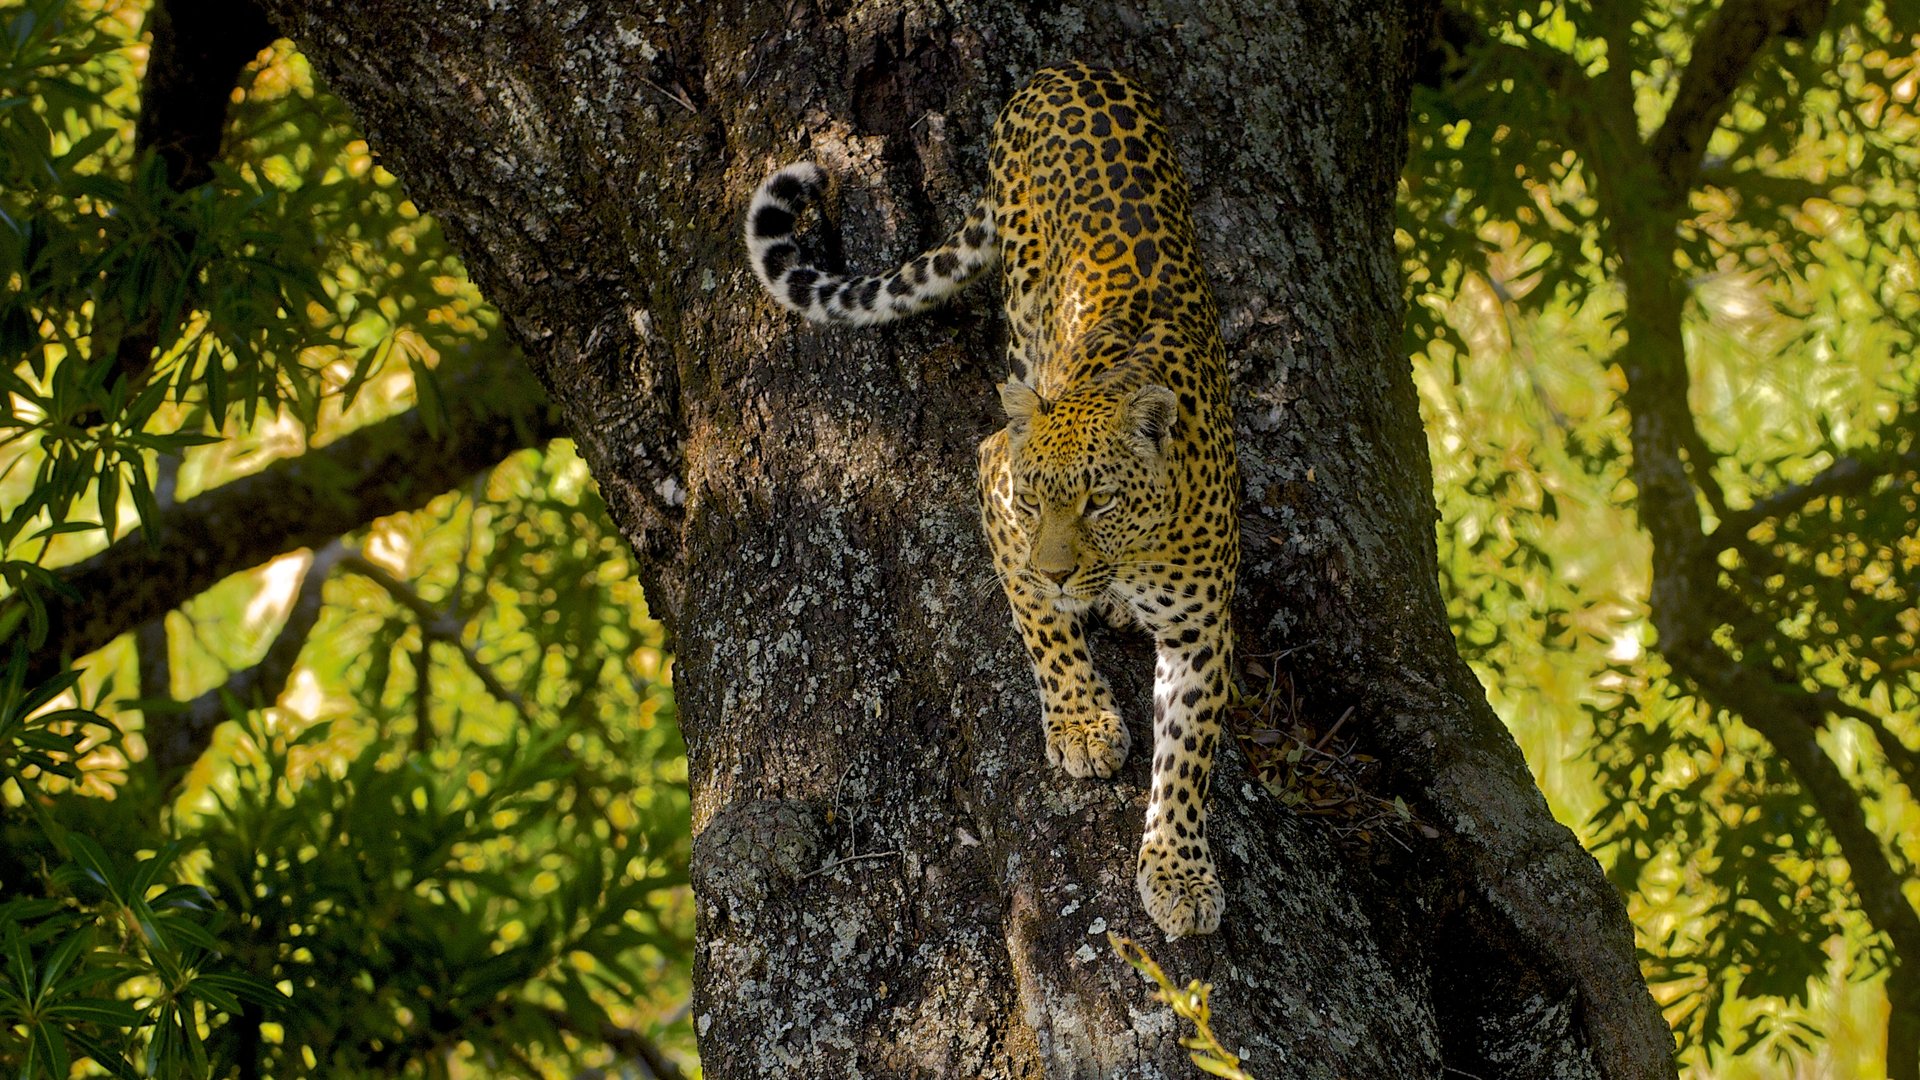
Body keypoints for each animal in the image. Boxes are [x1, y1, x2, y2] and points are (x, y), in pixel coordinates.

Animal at [744, 62, 1239, 939]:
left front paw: (1178, 871)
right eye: (1037, 501)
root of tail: (1065, 70)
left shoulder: (1201, 628)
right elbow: (1039, 623)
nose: (1060, 570)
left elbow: (1186, 759)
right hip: (1023, 302)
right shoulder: (995, 481)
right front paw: (1081, 722)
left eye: (1100, 502)